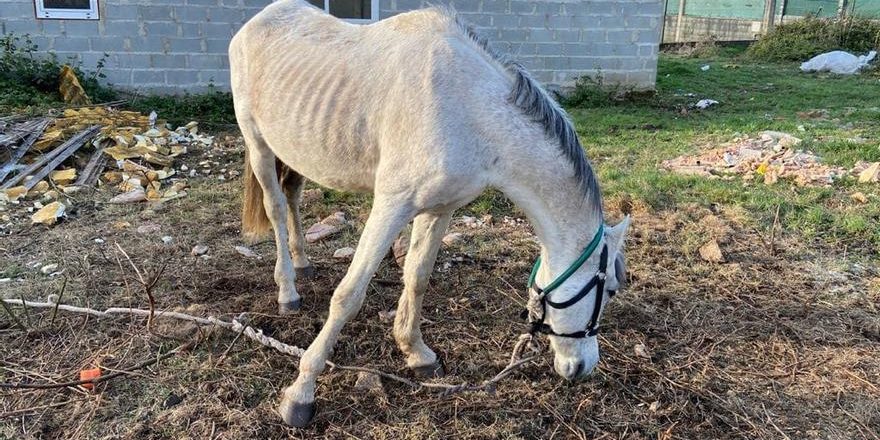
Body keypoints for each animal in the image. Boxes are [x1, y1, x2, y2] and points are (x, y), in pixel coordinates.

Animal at [229, 0, 630, 427]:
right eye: (609, 288)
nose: (583, 367)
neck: (470, 110)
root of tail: (258, 21)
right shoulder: (391, 205)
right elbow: (349, 295)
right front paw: (301, 393)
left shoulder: (440, 209)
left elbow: (418, 278)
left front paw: (417, 353)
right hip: (258, 144)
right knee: (275, 208)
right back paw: (287, 291)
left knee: (293, 196)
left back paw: (303, 263)